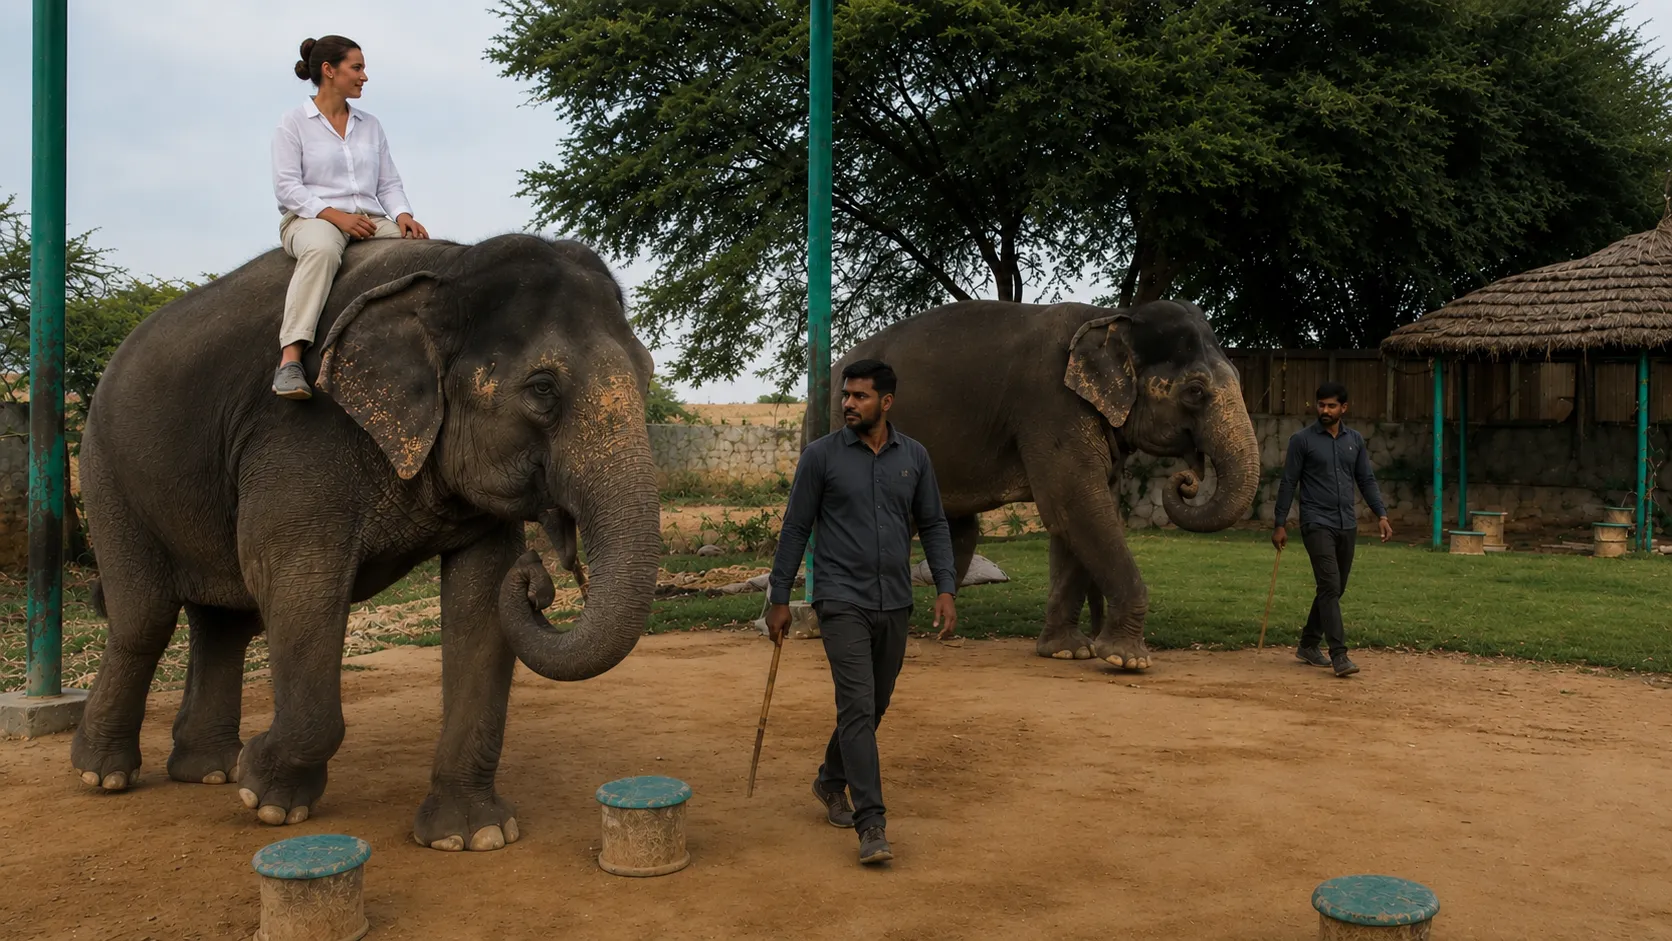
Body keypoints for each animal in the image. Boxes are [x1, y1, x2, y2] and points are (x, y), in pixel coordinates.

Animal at [68, 233, 662, 852]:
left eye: (647, 377)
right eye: (542, 389)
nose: (540, 577)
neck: (451, 268)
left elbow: (480, 599)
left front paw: (471, 837)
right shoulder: (300, 436)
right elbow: (298, 581)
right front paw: (268, 799)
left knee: (226, 622)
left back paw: (208, 771)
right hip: (107, 472)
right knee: (145, 618)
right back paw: (104, 775)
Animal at [828, 299, 1259, 670]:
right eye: (1195, 391)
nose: (1186, 480)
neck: (1113, 316)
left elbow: (1079, 514)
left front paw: (1068, 652)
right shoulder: (1051, 405)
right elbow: (1074, 504)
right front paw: (1127, 660)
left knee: (958, 527)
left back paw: (940, 633)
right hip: (838, 418)